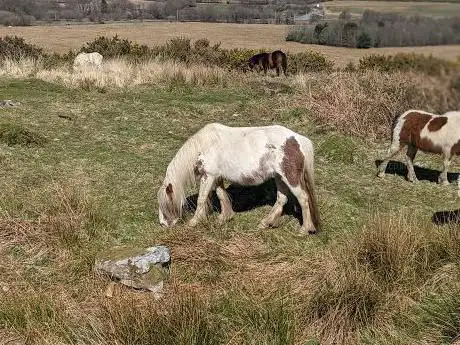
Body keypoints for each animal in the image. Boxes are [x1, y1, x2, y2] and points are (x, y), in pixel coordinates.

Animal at [158, 122, 320, 235]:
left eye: (165, 204)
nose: (163, 224)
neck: (204, 146)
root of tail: (299, 140)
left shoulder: (209, 175)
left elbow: (202, 199)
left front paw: (194, 222)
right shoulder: (217, 177)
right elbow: (221, 195)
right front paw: (224, 218)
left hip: (290, 177)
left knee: (303, 198)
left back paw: (305, 229)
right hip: (279, 177)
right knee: (281, 199)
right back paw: (266, 223)